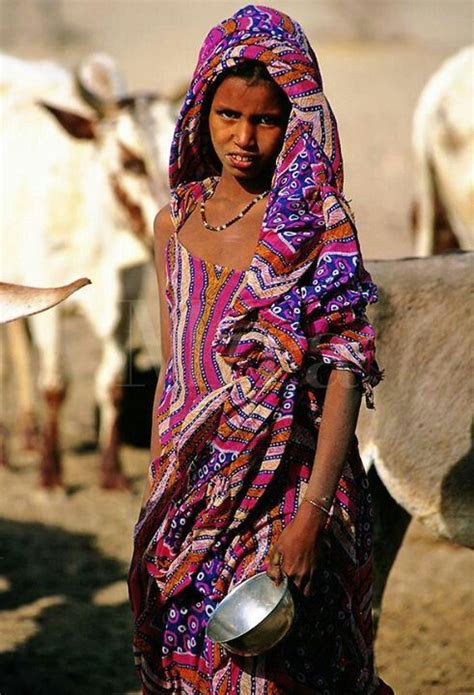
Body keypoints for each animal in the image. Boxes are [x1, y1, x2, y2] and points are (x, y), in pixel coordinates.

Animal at [0, 53, 176, 490]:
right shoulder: (48, 304)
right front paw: (51, 474)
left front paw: (111, 472)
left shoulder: (125, 300)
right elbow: (55, 384)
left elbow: (110, 383)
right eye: (130, 162)